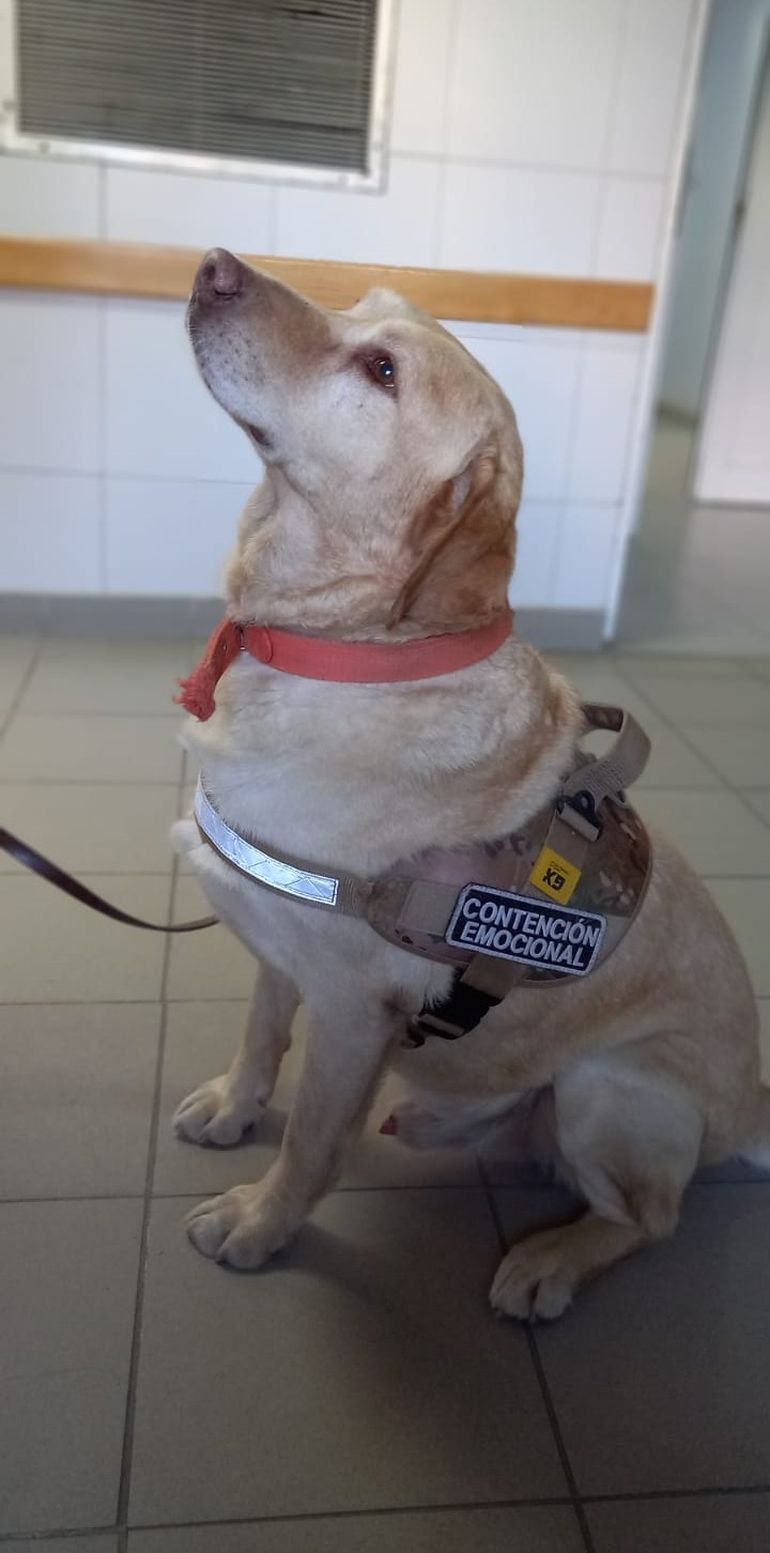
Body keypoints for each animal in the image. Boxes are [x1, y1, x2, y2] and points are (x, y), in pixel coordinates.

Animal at [171, 247, 767, 1320]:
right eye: (359, 305)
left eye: (382, 371)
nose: (214, 266)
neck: (345, 650)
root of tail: (750, 1108)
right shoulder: (281, 945)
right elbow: (261, 1034)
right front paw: (235, 1107)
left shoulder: (353, 1008)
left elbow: (311, 1140)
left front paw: (261, 1224)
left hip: (609, 1087)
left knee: (650, 1217)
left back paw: (549, 1261)